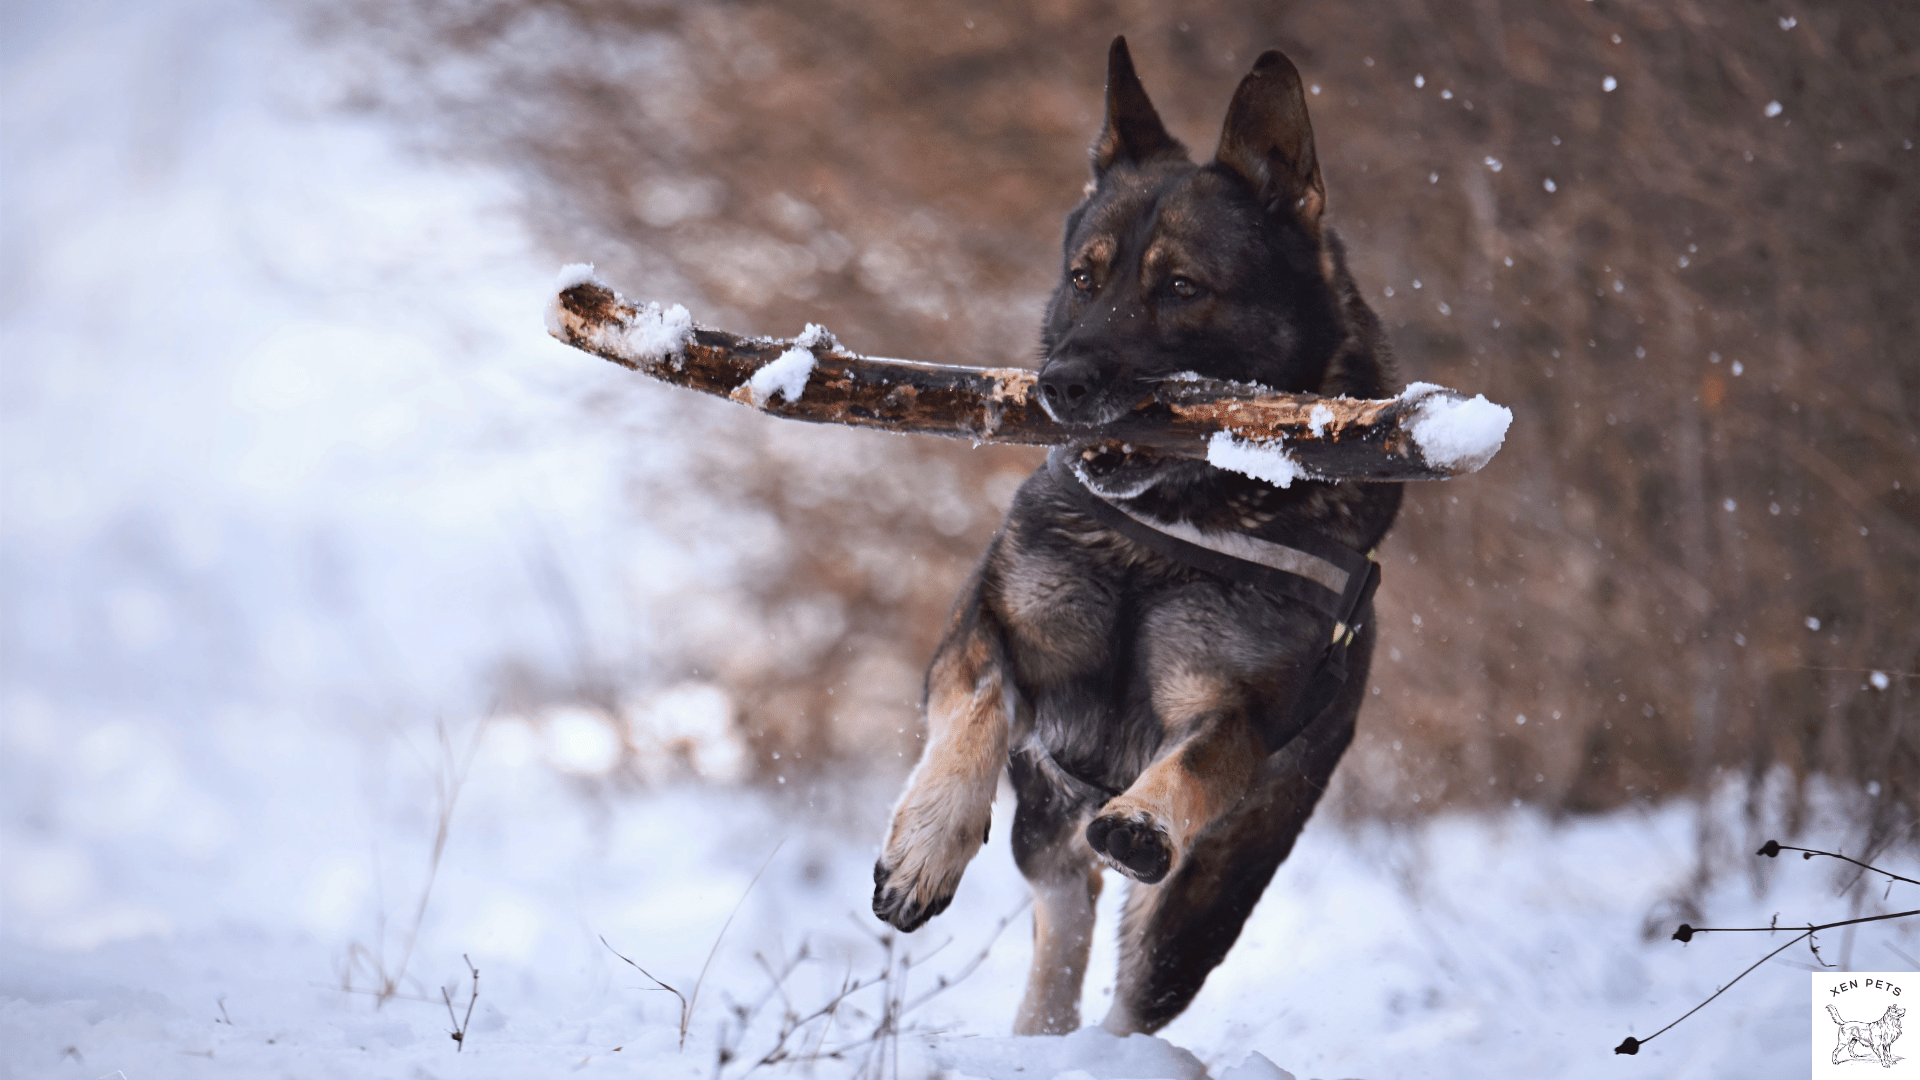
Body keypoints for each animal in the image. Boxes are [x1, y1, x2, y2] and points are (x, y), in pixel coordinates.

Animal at [867, 35, 1397, 1037]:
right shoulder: (979, 633)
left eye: (1182, 288)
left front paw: (1147, 817)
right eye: (1085, 277)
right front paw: (926, 843)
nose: (1060, 387)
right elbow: (979, 708)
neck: (1166, 531)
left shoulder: (1240, 714)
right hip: (1046, 823)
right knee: (1062, 912)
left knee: (1132, 982)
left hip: (1205, 901)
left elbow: (1194, 764)